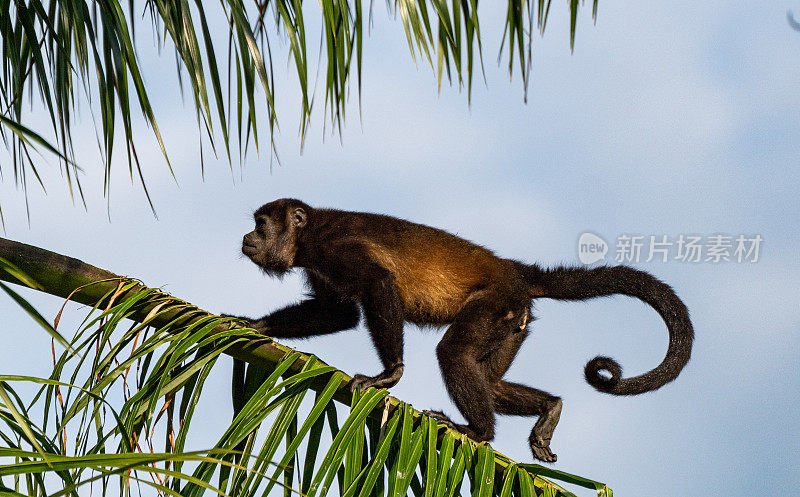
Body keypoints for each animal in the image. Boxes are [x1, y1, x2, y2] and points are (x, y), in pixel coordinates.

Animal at [228, 198, 692, 462]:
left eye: (261, 223)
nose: (247, 235)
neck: (308, 235)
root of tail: (514, 272)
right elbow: (338, 313)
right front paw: (254, 325)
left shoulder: (334, 248)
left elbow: (379, 284)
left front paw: (389, 374)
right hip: (515, 321)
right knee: (489, 379)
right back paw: (549, 409)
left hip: (496, 304)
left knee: (454, 355)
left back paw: (479, 431)